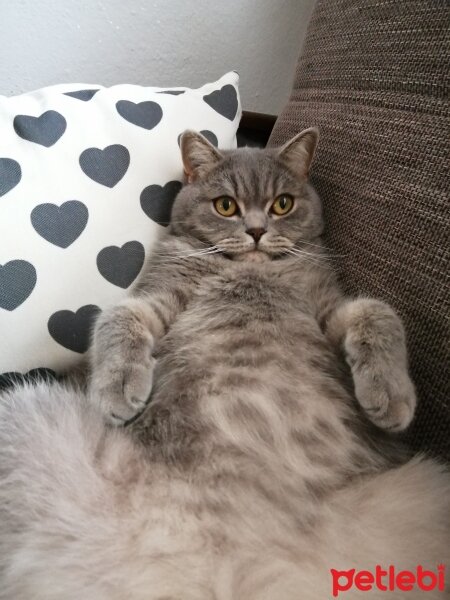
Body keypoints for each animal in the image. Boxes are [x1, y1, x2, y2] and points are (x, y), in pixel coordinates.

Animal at [0, 129, 448, 596]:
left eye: (282, 204)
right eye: (226, 206)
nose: (256, 230)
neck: (251, 272)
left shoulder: (329, 307)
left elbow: (378, 313)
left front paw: (391, 395)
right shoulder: (158, 298)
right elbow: (118, 317)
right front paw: (117, 389)